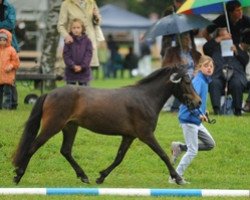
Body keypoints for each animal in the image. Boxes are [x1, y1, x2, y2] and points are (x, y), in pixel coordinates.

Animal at [12, 66, 201, 185]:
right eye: (186, 82)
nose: (198, 102)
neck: (145, 98)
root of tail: (49, 93)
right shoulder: (146, 135)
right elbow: (163, 155)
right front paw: (178, 178)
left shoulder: (129, 136)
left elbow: (118, 158)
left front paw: (101, 177)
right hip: (52, 126)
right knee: (32, 147)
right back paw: (18, 175)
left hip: (70, 127)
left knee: (65, 151)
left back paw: (84, 176)